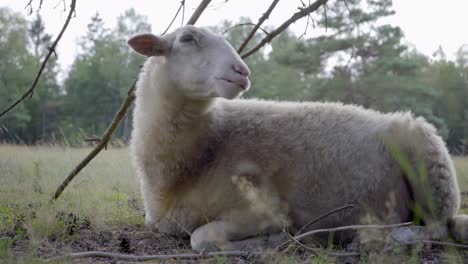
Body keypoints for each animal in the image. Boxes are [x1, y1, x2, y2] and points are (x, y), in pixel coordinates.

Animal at [128, 25, 468, 251]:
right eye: (187, 39)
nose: (241, 71)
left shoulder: (260, 208)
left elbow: (202, 238)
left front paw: (277, 238)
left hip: (428, 163)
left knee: (436, 228)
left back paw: (375, 236)